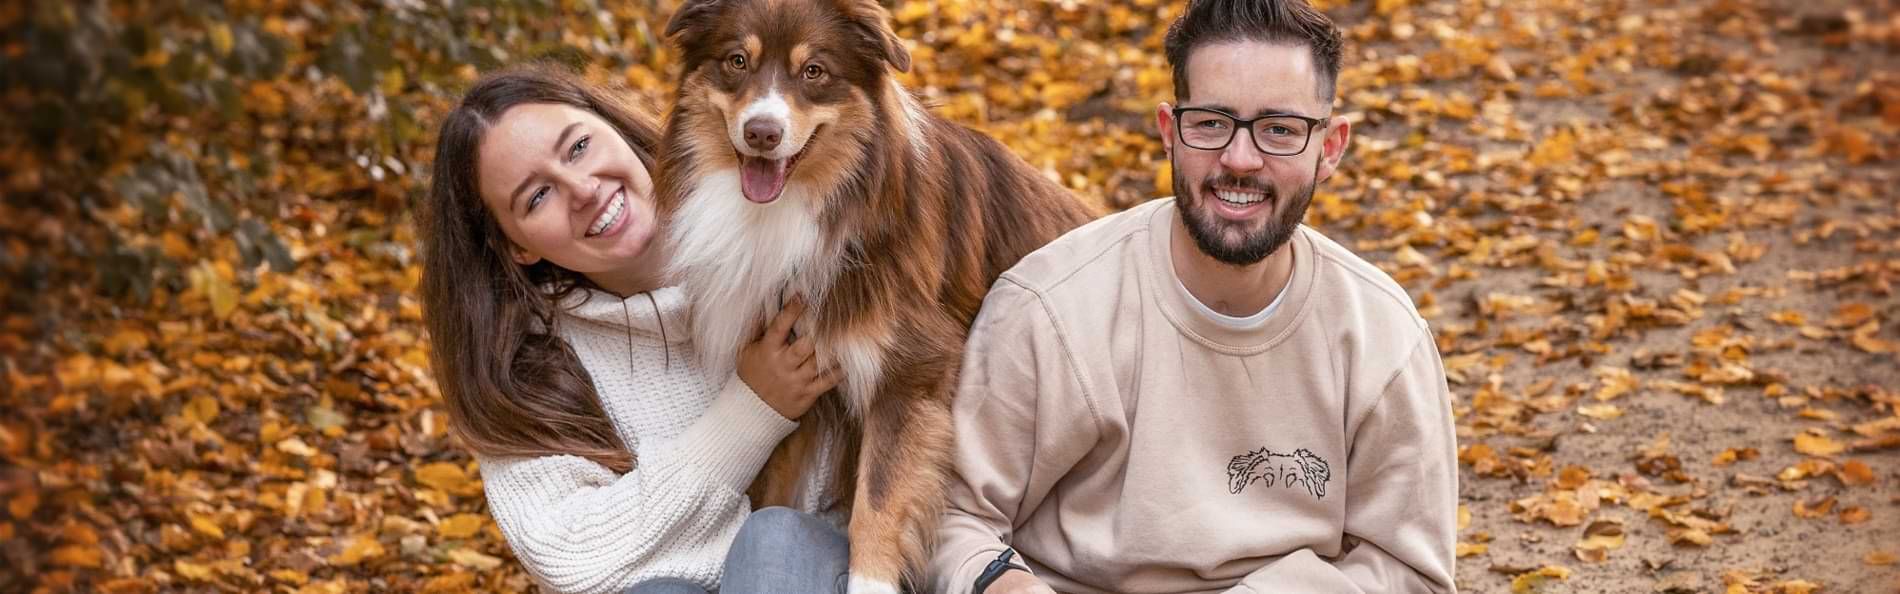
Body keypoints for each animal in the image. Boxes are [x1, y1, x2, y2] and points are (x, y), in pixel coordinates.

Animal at [657, 0, 1094, 588]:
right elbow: (770, 498)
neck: (827, 202)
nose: (762, 133)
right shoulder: (789, 381)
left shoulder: (912, 373)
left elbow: (879, 500)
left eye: (813, 71)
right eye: (736, 61)